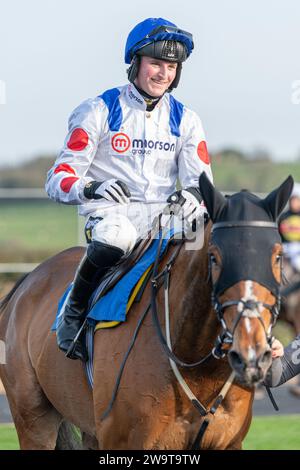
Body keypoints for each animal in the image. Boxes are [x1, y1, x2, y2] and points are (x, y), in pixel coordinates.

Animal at [0, 173, 292, 448]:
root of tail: (26, 281)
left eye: (277, 256)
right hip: (33, 419)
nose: (251, 352)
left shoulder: (228, 442)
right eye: (214, 257)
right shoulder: (123, 439)